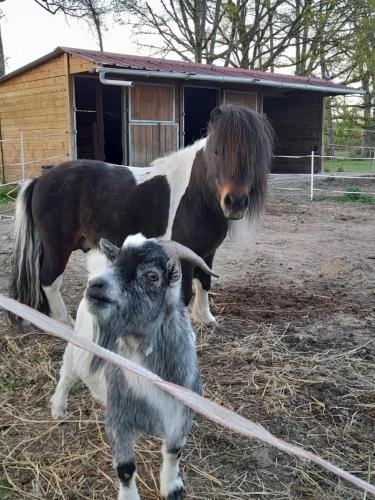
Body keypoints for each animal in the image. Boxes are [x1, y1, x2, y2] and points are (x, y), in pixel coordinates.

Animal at [9, 103, 274, 326]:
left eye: (253, 156)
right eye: (217, 151)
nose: (235, 202)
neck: (196, 195)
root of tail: (39, 179)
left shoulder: (206, 253)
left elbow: (205, 283)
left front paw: (205, 319)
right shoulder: (184, 255)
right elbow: (184, 293)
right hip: (58, 247)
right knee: (49, 281)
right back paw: (65, 324)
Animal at [50, 234, 214, 500]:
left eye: (152, 275)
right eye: (116, 262)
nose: (96, 285)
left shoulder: (180, 416)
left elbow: (173, 452)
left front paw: (171, 488)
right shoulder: (119, 423)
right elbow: (126, 469)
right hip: (75, 349)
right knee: (66, 376)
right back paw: (58, 408)